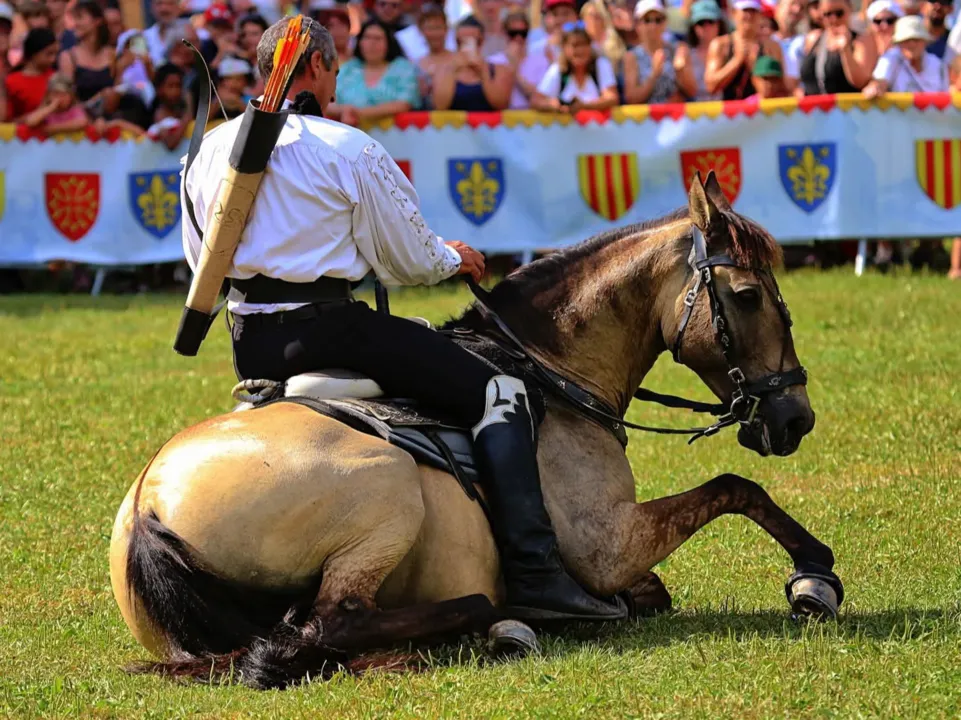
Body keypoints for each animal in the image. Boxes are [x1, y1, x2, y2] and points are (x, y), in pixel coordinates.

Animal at [109, 173, 843, 689]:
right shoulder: (607, 545)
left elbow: (663, 580)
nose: (795, 417)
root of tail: (151, 501)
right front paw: (814, 573)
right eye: (747, 296)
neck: (549, 373)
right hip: (388, 490)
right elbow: (734, 487)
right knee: (331, 620)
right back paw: (497, 618)